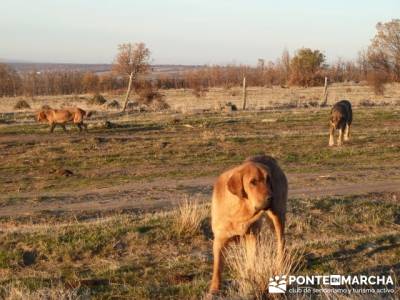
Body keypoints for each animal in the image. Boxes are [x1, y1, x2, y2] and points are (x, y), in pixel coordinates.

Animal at [209, 155, 288, 292]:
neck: (240, 209)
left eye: (268, 179)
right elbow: (217, 267)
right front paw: (214, 289)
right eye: (253, 182)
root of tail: (269, 157)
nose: (271, 198)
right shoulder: (219, 240)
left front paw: (250, 278)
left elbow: (251, 260)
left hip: (278, 217)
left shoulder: (252, 237)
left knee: (281, 242)